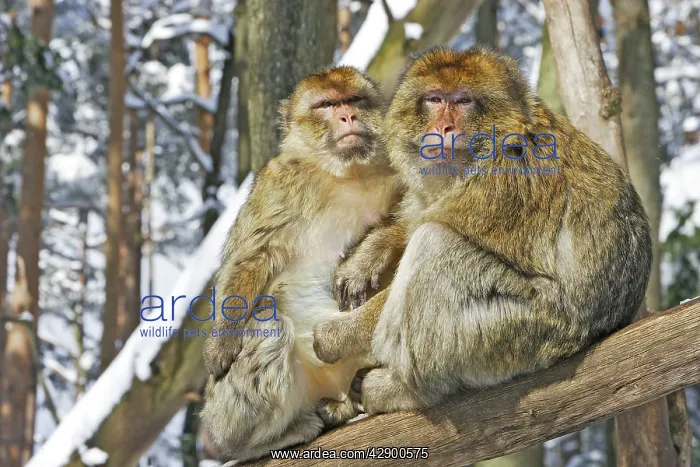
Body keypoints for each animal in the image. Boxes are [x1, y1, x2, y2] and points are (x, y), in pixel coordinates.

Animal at [199, 66, 400, 462]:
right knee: (268, 323)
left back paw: (343, 408)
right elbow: (252, 256)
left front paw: (368, 256)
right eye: (326, 105)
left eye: (354, 99)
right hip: (226, 415)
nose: (347, 116)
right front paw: (221, 344)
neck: (346, 174)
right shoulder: (278, 184)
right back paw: (259, 442)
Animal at [312, 47, 653, 416]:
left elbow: (433, 231)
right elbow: (419, 216)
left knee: (437, 246)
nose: (443, 126)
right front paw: (371, 254)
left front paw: (338, 335)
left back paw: (409, 389)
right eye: (434, 99)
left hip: (520, 335)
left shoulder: (501, 185)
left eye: (463, 101)